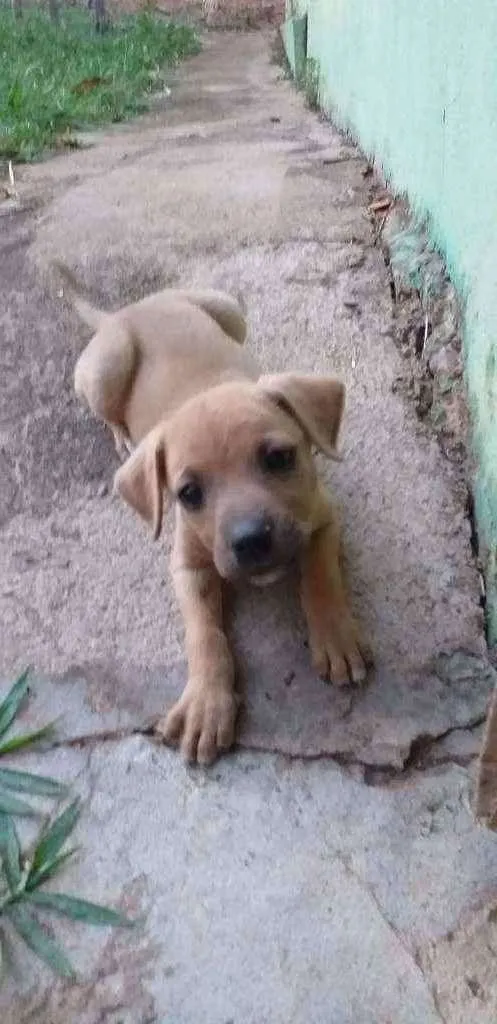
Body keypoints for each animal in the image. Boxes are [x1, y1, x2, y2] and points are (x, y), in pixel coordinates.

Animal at [56, 262, 370, 761]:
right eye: (187, 494)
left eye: (279, 458)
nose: (252, 541)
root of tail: (124, 311)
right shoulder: (188, 566)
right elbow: (204, 634)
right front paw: (207, 702)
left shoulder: (321, 519)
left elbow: (321, 577)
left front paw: (335, 637)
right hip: (105, 371)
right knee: (107, 411)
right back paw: (123, 437)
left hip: (227, 309)